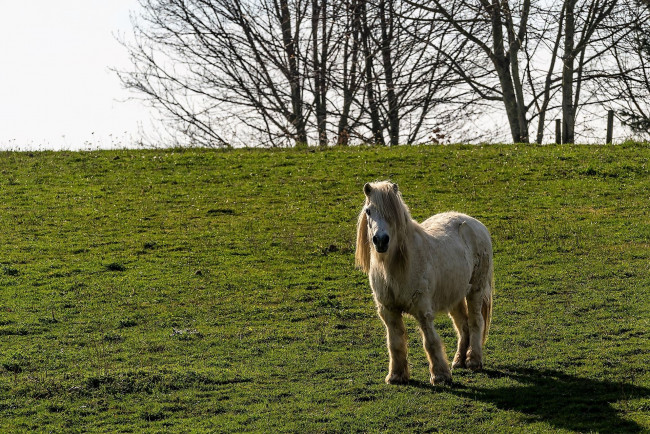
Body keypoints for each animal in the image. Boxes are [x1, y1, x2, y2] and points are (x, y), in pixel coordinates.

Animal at [354, 181, 492, 384]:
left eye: (393, 213)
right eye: (369, 211)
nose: (380, 240)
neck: (395, 268)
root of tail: (475, 223)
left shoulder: (422, 310)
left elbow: (430, 341)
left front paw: (440, 376)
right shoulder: (389, 311)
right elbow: (395, 342)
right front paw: (396, 376)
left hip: (476, 289)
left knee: (475, 321)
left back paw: (473, 360)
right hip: (455, 296)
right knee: (463, 325)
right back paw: (458, 361)